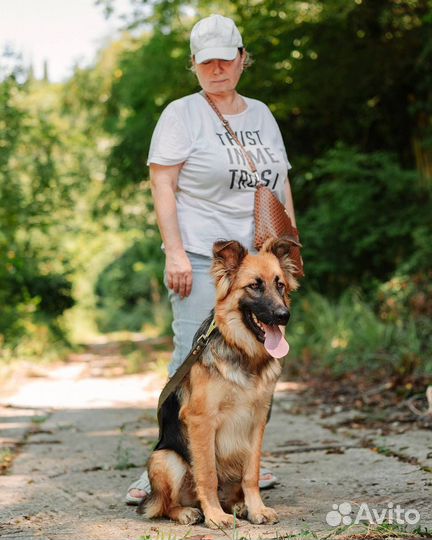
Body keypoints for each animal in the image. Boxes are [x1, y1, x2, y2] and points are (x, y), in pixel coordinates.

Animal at [139, 236, 300, 528]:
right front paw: (214, 515)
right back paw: (189, 511)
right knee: (164, 505)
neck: (244, 353)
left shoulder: (257, 420)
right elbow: (207, 474)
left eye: (280, 284)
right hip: (164, 458)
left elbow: (252, 474)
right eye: (254, 286)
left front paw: (257, 509)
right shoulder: (202, 420)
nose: (284, 315)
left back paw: (238, 505)